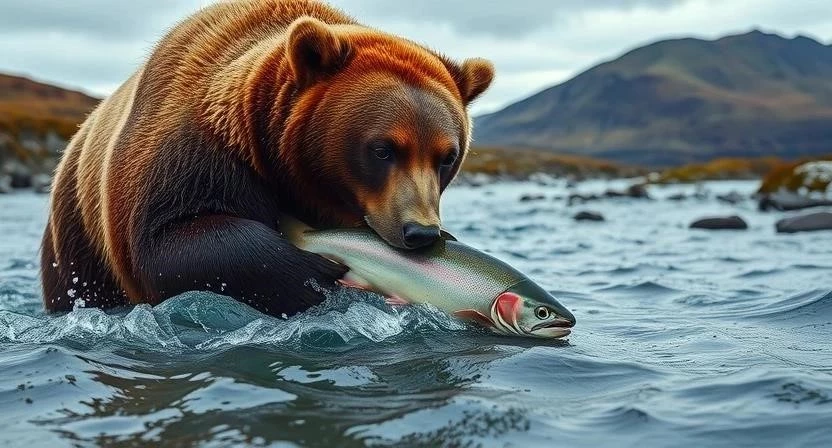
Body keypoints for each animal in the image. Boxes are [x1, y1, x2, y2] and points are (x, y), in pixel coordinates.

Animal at [41, 0, 494, 316]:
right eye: (383, 149)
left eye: (447, 156)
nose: (421, 232)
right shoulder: (191, 157)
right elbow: (170, 241)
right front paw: (316, 272)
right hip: (78, 240)